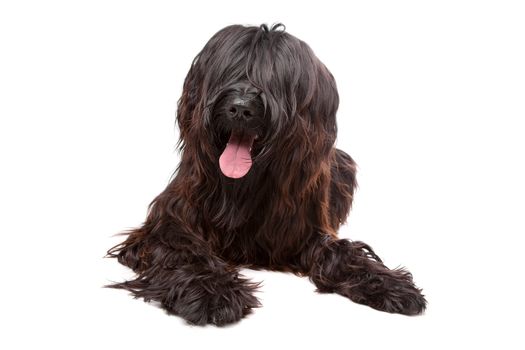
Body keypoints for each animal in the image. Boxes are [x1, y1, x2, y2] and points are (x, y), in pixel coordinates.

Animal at [105, 23, 426, 326]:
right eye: (229, 69)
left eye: (274, 80)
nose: (240, 108)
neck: (244, 186)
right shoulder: (168, 220)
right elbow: (184, 249)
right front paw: (213, 293)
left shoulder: (305, 227)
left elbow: (342, 252)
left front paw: (389, 284)